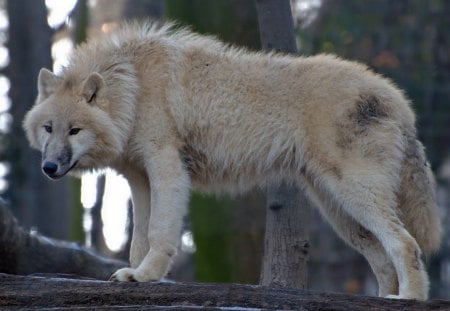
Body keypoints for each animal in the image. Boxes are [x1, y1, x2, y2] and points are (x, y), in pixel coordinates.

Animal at [22, 22, 442, 302]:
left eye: (75, 130)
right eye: (48, 129)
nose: (49, 168)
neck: (133, 86)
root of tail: (399, 100)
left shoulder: (166, 166)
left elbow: (159, 233)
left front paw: (146, 276)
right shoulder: (138, 179)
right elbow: (138, 238)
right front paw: (135, 274)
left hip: (354, 195)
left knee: (405, 243)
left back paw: (410, 298)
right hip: (339, 211)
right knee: (383, 256)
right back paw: (385, 297)